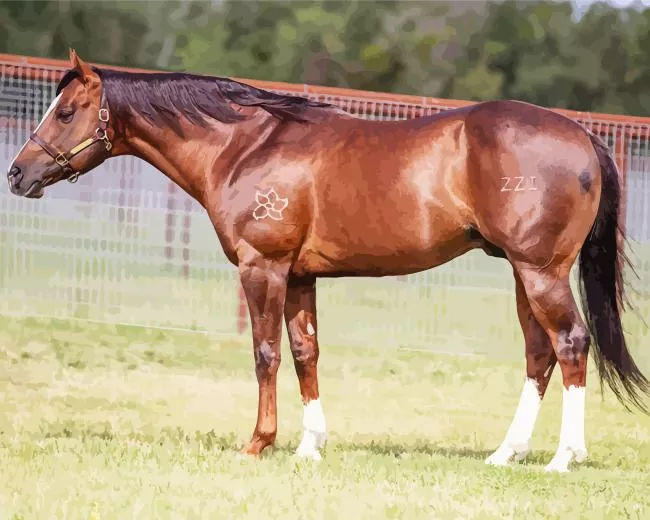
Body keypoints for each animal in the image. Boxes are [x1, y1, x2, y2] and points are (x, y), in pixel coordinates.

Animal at [6, 49, 649, 472]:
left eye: (66, 112)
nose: (16, 174)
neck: (246, 146)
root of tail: (583, 135)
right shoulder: (300, 277)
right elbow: (304, 353)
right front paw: (309, 446)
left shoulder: (262, 268)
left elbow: (265, 353)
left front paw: (258, 443)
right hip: (522, 274)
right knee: (539, 355)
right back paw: (505, 453)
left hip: (541, 273)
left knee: (570, 345)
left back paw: (564, 457)